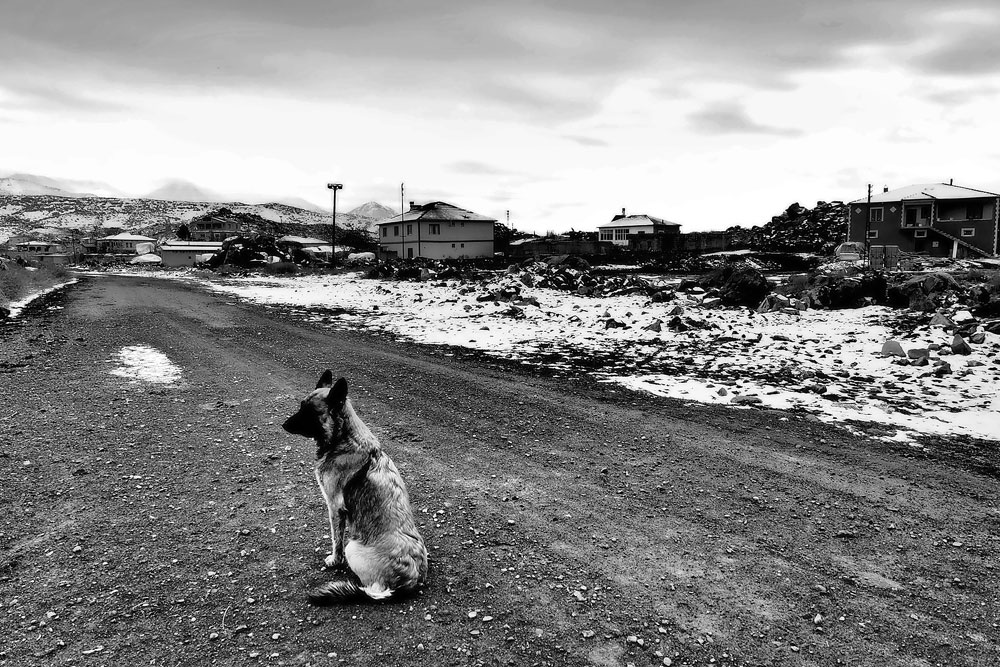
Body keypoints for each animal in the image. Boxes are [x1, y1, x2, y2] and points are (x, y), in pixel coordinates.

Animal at [280, 370, 428, 604]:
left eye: (309, 411)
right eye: (301, 406)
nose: (284, 425)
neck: (343, 439)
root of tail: (407, 581)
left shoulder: (334, 507)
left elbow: (336, 540)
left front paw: (334, 560)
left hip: (353, 548)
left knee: (368, 588)